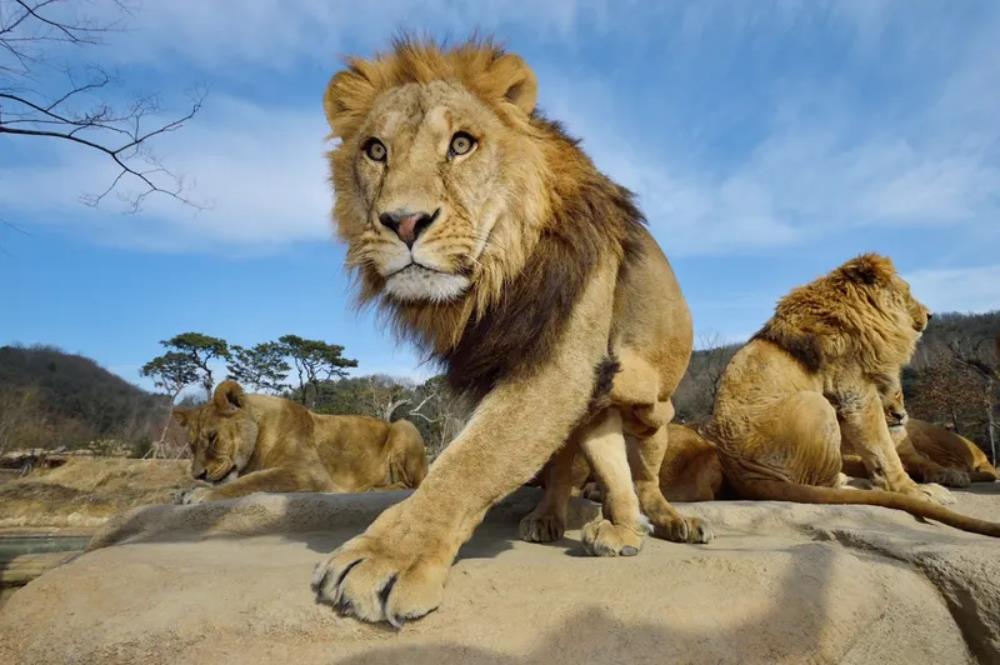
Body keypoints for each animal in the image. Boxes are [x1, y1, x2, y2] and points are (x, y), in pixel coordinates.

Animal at [173, 378, 430, 504]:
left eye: (213, 438)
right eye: (192, 445)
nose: (198, 475)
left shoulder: (308, 473)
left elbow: (252, 481)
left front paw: (200, 495)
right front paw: (187, 489)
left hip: (405, 426)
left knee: (414, 485)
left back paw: (372, 489)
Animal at [704, 252, 1000, 536]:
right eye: (907, 291)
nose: (930, 314)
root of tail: (746, 479)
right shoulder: (856, 395)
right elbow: (885, 452)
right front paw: (917, 492)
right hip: (815, 404)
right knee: (826, 485)